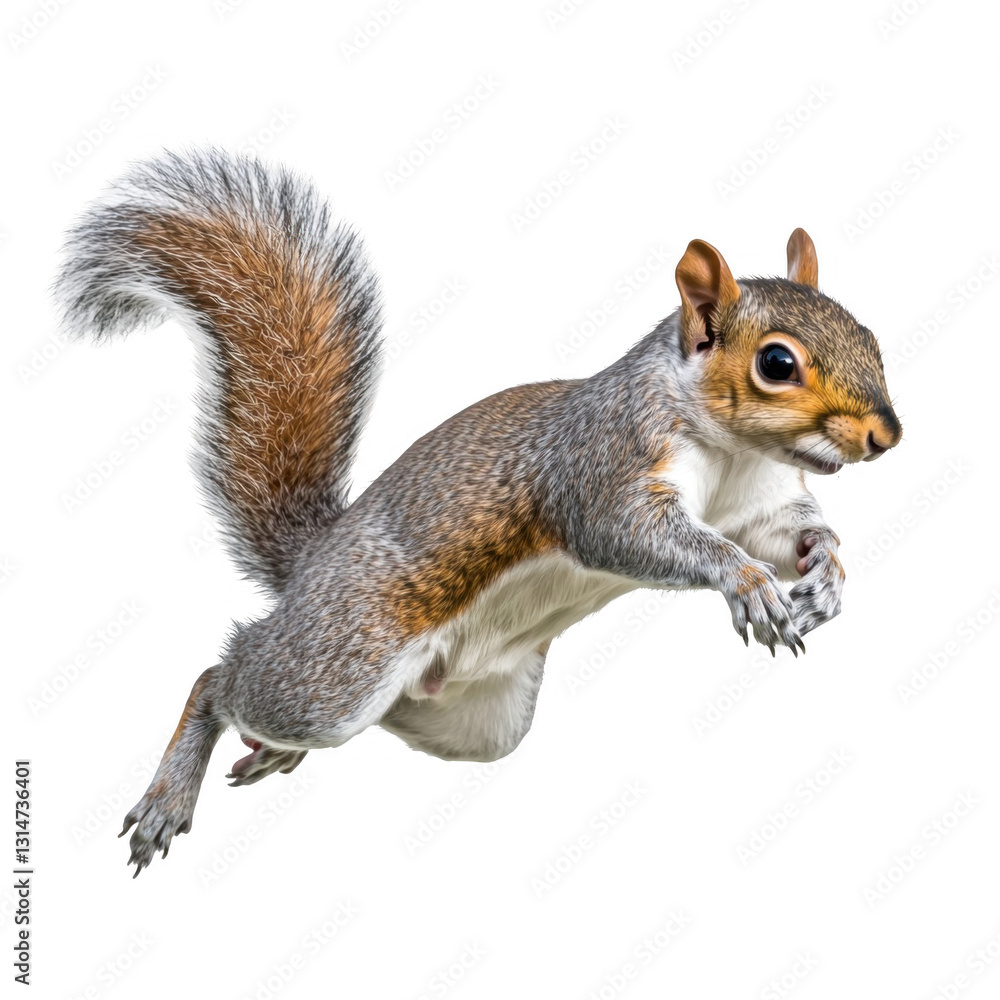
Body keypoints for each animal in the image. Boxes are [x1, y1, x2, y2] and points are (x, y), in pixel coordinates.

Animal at [56, 149, 901, 875]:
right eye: (777, 363)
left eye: (868, 334)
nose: (886, 435)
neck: (733, 454)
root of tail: (313, 563)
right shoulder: (601, 463)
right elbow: (634, 532)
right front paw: (748, 584)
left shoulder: (761, 504)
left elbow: (795, 536)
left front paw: (826, 577)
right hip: (339, 665)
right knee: (222, 678)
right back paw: (176, 790)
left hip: (471, 724)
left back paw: (273, 754)